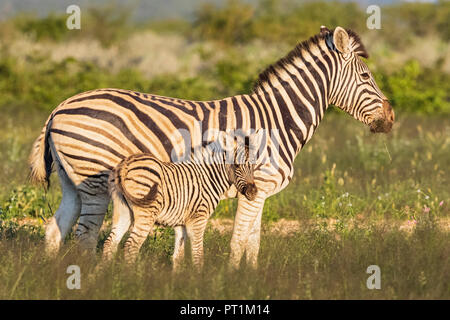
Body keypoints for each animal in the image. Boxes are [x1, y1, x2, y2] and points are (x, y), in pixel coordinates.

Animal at [102, 130, 260, 268]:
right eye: (237, 166)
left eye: (253, 166)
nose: (253, 193)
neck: (208, 178)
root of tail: (126, 163)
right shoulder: (198, 219)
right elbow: (198, 256)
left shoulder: (180, 224)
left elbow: (178, 257)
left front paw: (178, 282)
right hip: (146, 212)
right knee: (131, 246)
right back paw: (130, 278)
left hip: (123, 210)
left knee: (110, 243)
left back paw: (105, 277)